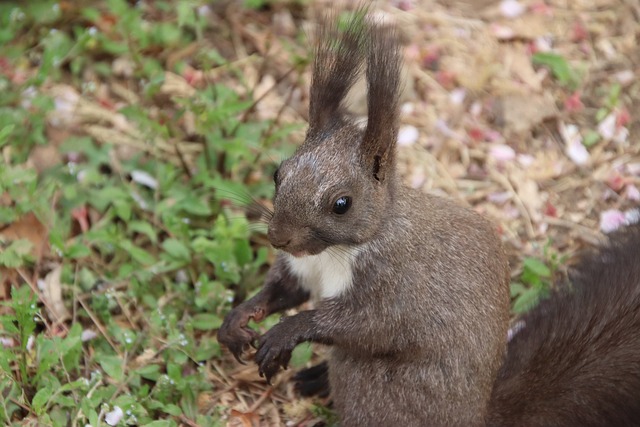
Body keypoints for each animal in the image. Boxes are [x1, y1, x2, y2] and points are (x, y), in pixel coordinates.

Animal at [216, 8, 640, 426]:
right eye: (279, 173)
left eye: (342, 204)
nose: (278, 237)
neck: (338, 250)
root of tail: (475, 417)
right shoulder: (304, 268)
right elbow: (285, 290)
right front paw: (239, 319)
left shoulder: (394, 283)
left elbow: (368, 326)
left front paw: (287, 331)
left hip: (368, 380)